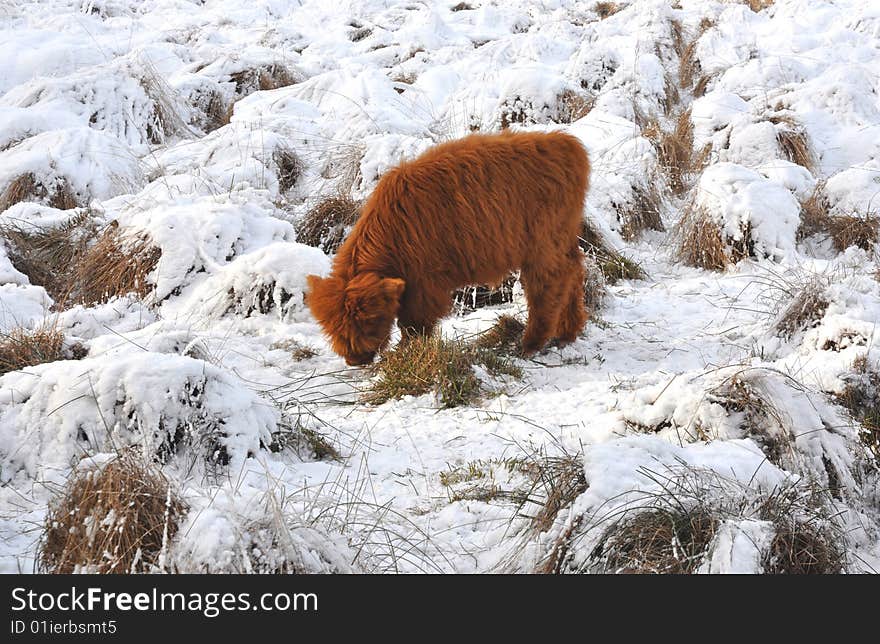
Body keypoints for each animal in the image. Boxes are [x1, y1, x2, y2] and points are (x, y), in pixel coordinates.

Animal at [308, 128, 592, 364]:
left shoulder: (424, 284)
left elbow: (413, 324)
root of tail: (566, 144)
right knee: (574, 273)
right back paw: (568, 331)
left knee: (549, 284)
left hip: (543, 243)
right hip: (562, 238)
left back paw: (531, 343)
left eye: (367, 320)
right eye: (333, 326)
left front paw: (407, 352)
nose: (355, 359)